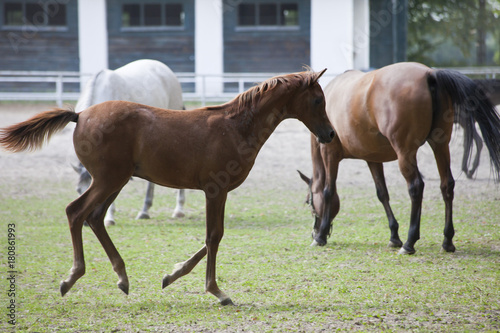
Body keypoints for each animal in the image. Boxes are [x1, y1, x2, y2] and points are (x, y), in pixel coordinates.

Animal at [298, 62, 498, 253]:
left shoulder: (330, 154)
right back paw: (447, 241)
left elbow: (328, 191)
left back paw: (410, 242)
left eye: (308, 201)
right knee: (447, 185)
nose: (313, 231)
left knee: (416, 187)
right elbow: (382, 194)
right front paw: (394, 236)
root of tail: (429, 74)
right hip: (440, 146)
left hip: (405, 153)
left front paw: (320, 237)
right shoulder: (373, 159)